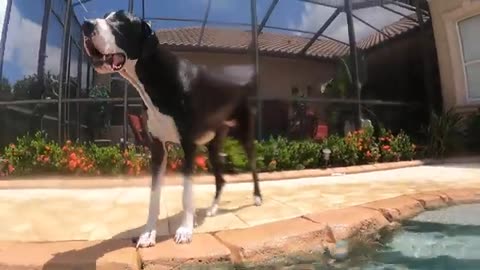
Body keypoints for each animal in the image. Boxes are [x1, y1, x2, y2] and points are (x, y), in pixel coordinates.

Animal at [81, 10, 262, 247]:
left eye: (120, 21)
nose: (85, 25)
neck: (156, 78)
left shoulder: (189, 146)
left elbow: (187, 193)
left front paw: (185, 230)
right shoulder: (157, 148)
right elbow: (154, 194)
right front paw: (148, 233)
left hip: (244, 135)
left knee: (253, 165)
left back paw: (257, 197)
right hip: (214, 146)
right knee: (221, 179)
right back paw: (213, 209)